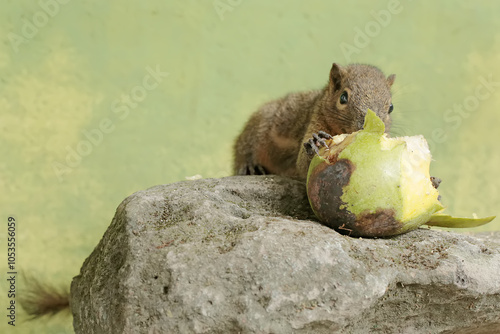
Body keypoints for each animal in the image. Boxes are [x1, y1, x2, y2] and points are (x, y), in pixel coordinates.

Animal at [234, 62, 398, 180]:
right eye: (343, 97)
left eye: (391, 107)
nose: (370, 126)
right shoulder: (314, 120)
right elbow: (303, 165)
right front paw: (316, 142)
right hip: (256, 129)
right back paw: (250, 167)